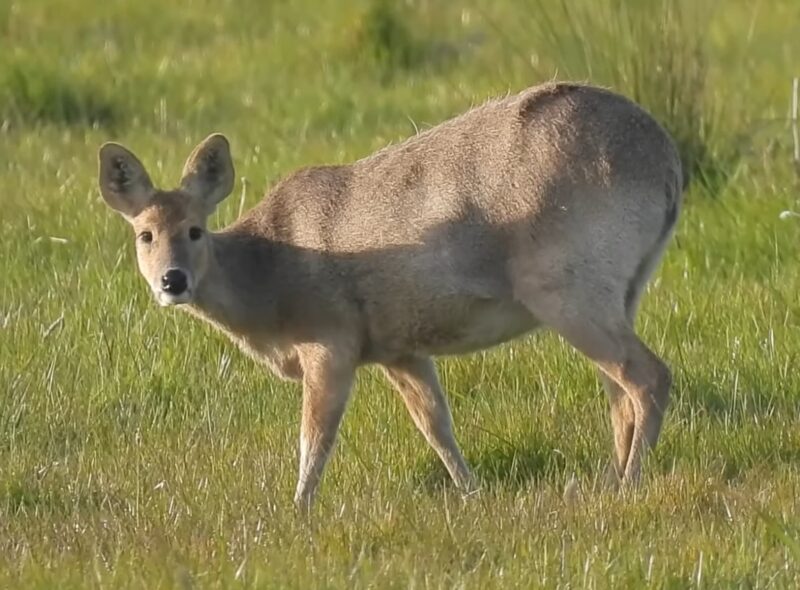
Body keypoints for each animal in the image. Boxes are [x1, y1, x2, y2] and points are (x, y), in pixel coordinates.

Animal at [94, 81, 680, 512]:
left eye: (194, 230)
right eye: (145, 235)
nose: (172, 281)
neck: (271, 280)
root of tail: (669, 167)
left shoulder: (331, 339)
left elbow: (315, 436)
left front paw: (297, 510)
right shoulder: (399, 347)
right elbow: (436, 425)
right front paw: (472, 493)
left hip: (567, 285)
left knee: (649, 376)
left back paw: (628, 486)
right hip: (619, 289)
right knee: (619, 392)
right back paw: (607, 480)